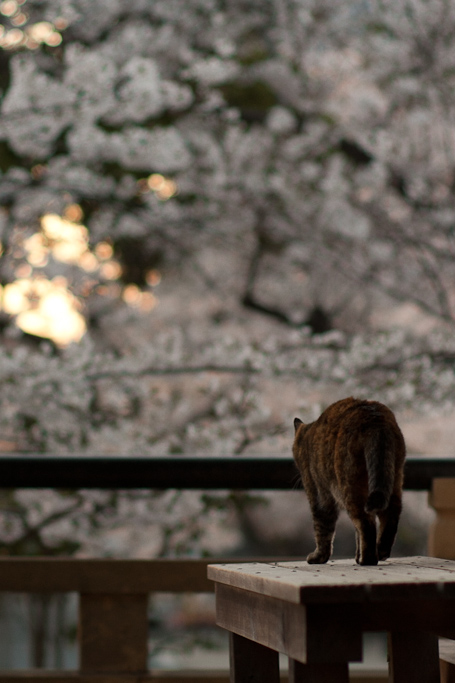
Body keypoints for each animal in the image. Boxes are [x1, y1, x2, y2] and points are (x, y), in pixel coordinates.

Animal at [294, 396, 408, 568]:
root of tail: (375, 420)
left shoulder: (320, 497)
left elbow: (323, 530)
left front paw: (319, 557)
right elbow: (356, 534)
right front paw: (357, 554)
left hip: (350, 488)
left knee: (366, 523)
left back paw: (368, 560)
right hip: (392, 478)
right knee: (390, 514)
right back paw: (380, 551)